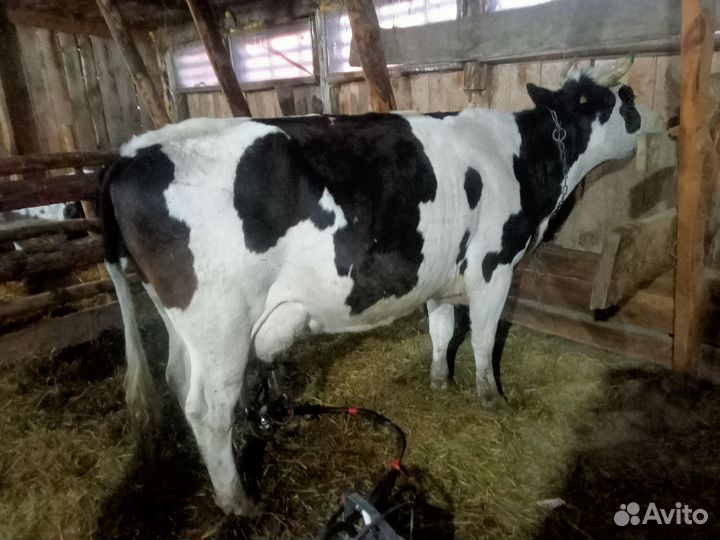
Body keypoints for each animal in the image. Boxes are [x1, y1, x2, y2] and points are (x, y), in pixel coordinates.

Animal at [100, 57, 645, 515]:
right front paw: (491, 398)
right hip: (221, 325)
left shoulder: (441, 274)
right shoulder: (494, 267)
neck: (523, 159)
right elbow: (485, 340)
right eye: (617, 100)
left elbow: (442, 331)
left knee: (176, 378)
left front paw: (440, 382)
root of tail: (130, 153)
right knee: (208, 408)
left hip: (181, 322)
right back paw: (238, 499)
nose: (643, 109)